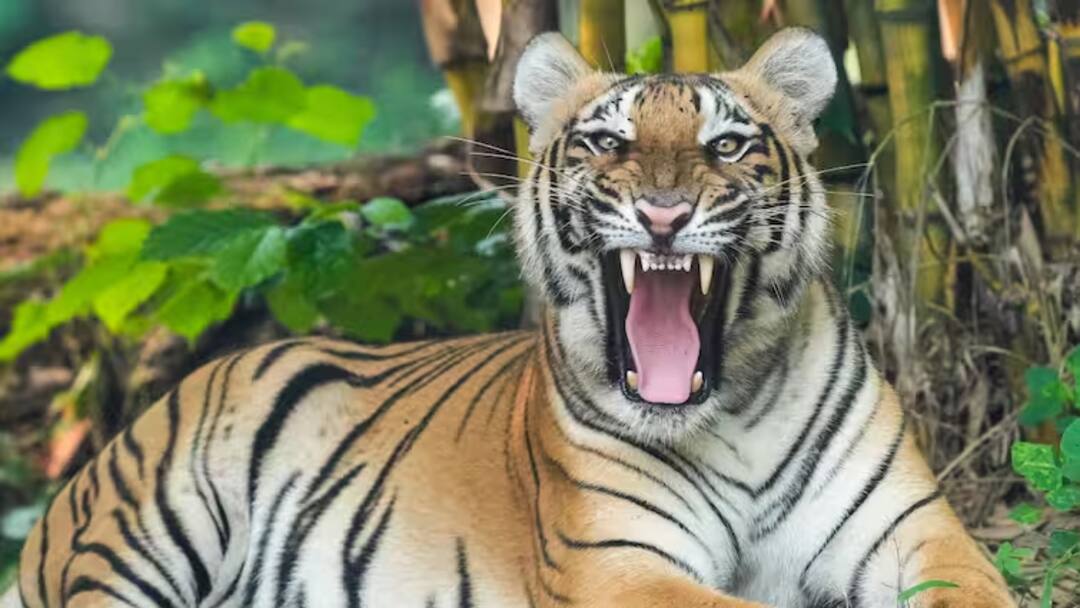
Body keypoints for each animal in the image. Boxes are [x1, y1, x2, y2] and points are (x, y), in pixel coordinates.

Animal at [6, 27, 1014, 608]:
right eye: (607, 141)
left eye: (726, 145)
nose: (662, 214)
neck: (730, 416)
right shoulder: (617, 560)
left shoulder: (915, 531)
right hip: (149, 523)